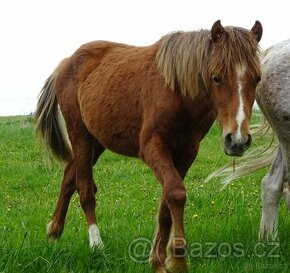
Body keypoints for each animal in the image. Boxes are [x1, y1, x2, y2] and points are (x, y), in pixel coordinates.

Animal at [35, 21, 262, 272]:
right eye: (217, 77)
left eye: (257, 79)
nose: (238, 140)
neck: (177, 91)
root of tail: (66, 62)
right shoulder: (153, 147)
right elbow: (176, 193)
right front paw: (177, 258)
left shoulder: (187, 152)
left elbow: (166, 202)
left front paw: (158, 259)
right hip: (80, 135)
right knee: (85, 188)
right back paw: (96, 245)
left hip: (97, 141)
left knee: (68, 177)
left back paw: (54, 231)